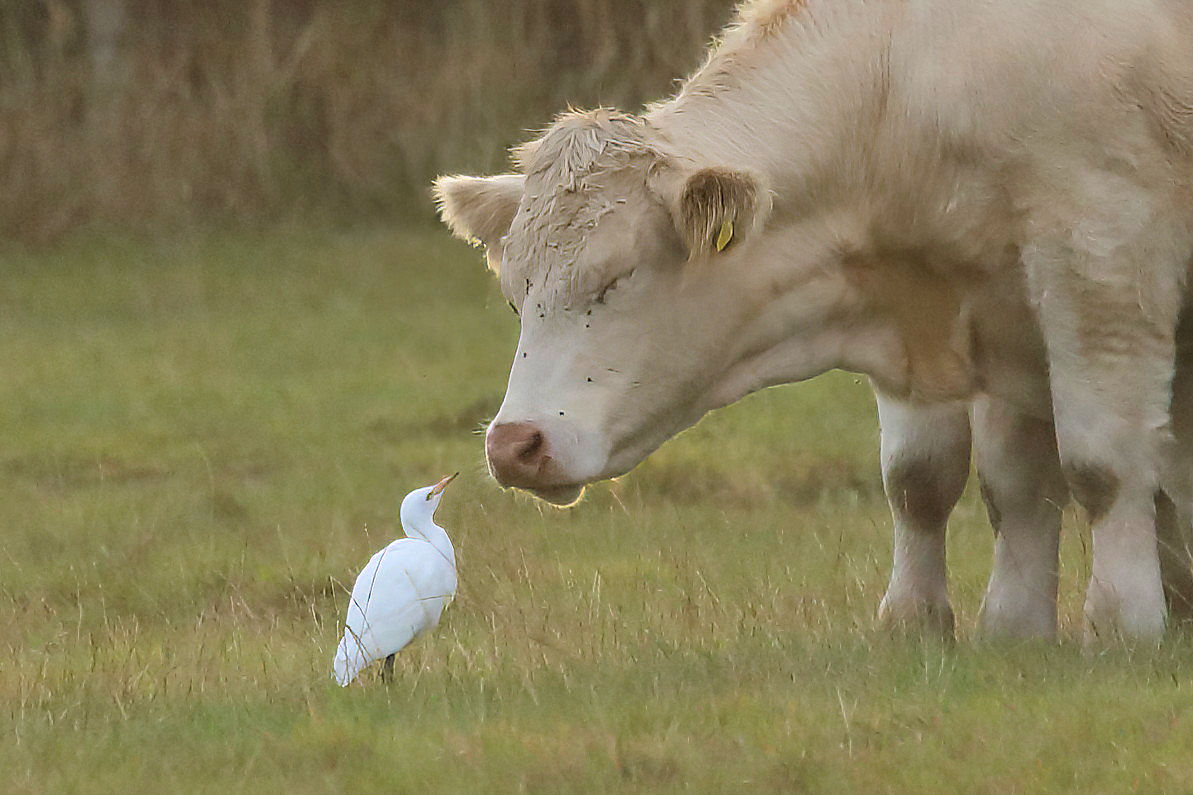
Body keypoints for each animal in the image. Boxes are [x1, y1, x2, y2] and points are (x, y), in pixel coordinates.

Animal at [434, 0, 1193, 643]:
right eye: (515, 296)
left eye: (615, 276)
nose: (514, 445)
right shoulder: (973, 313)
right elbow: (939, 480)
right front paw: (963, 626)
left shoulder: (1097, 261)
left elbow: (1100, 464)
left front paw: (1123, 625)